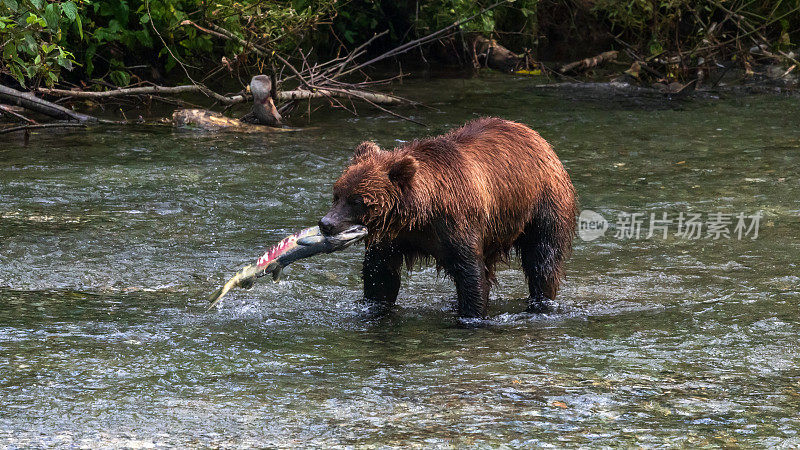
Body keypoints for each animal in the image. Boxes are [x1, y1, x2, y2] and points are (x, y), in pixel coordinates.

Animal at [318, 118, 576, 318]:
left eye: (357, 201)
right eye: (337, 194)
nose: (326, 224)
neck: (419, 214)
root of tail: (538, 138)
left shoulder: (456, 222)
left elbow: (470, 272)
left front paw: (471, 315)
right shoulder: (394, 236)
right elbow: (380, 273)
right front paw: (375, 306)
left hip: (542, 203)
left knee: (542, 258)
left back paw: (540, 301)